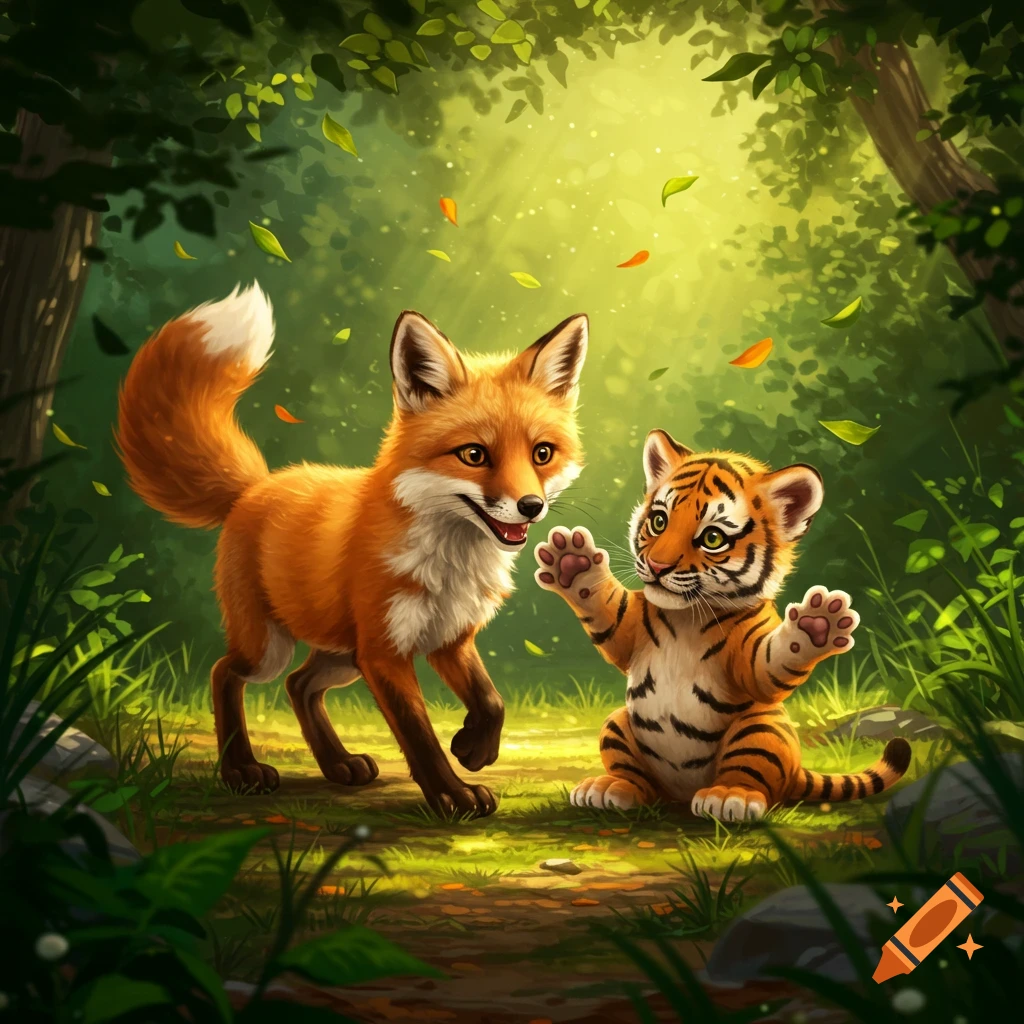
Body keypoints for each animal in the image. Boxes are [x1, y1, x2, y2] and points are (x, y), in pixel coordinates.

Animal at [116, 282, 588, 817]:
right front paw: (452, 794)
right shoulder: (384, 655)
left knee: (299, 685)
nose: (531, 507)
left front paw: (473, 749)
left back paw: (338, 764)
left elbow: (491, 702)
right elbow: (418, 732)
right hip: (273, 648)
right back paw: (241, 769)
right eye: (474, 455)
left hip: (342, 656)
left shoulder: (449, 638)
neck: (449, 561)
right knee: (225, 673)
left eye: (542, 454)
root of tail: (255, 487)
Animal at [533, 428, 911, 821]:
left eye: (712, 538)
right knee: (641, 784)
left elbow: (772, 664)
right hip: (618, 723)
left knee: (749, 774)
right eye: (659, 521)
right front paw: (572, 563)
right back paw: (612, 788)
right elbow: (608, 610)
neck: (685, 616)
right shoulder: (628, 629)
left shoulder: (753, 659)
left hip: (760, 726)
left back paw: (731, 797)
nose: (656, 566)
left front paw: (816, 624)